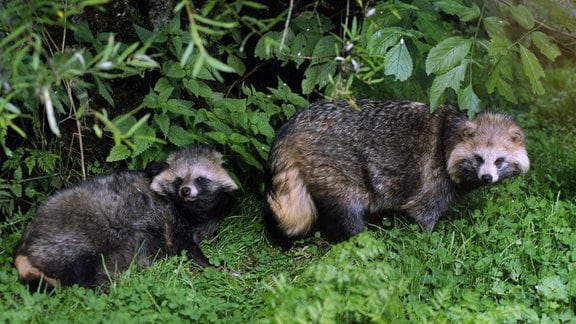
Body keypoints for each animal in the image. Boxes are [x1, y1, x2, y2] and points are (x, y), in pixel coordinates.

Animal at [15, 144, 238, 288]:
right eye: (179, 179)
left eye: (200, 179)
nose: (185, 190)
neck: (190, 208)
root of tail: (26, 242)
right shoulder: (171, 222)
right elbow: (184, 247)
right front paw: (210, 263)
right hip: (73, 235)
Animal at [264, 98, 528, 248]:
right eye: (478, 158)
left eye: (499, 161)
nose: (487, 178)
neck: (451, 133)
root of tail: (292, 126)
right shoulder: (434, 177)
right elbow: (422, 214)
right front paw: (427, 241)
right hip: (334, 163)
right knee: (347, 207)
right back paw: (358, 238)